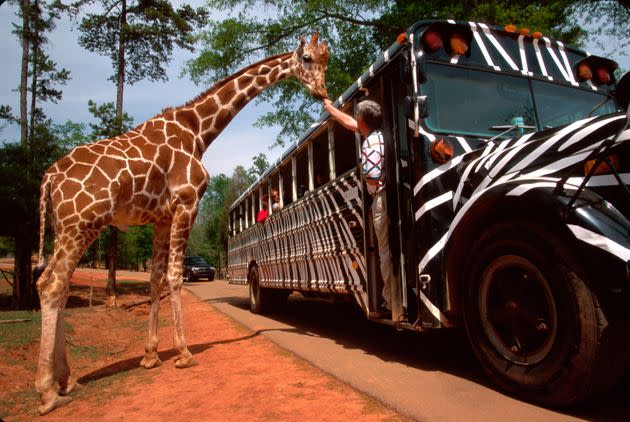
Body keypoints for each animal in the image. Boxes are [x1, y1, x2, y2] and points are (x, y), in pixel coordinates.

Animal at [33, 33, 330, 416]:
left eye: (326, 60)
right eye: (306, 59)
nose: (322, 91)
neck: (199, 130)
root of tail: (49, 178)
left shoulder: (161, 216)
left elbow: (155, 279)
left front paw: (150, 356)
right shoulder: (187, 201)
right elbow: (175, 276)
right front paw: (184, 353)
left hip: (64, 227)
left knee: (54, 283)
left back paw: (67, 379)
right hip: (83, 223)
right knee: (52, 284)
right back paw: (47, 391)